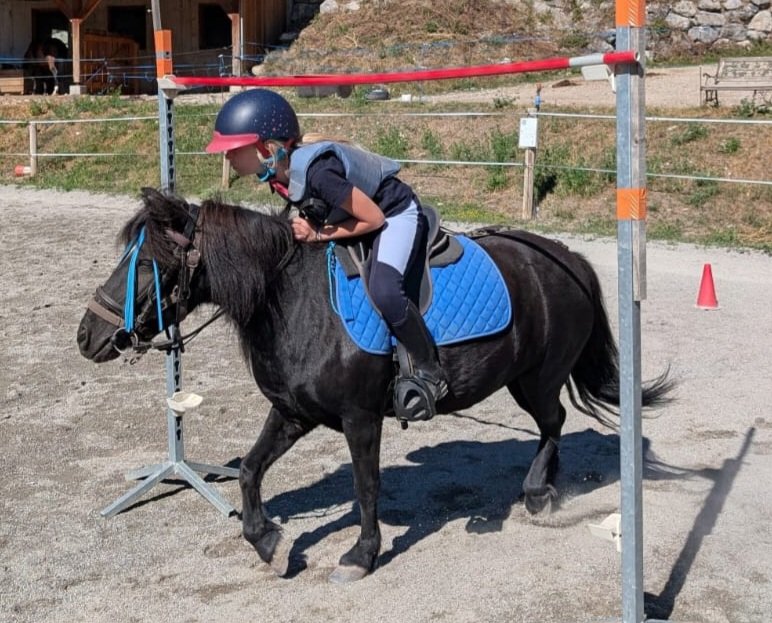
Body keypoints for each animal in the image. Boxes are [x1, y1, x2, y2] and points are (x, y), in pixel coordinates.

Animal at [77, 187, 673, 583]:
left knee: (554, 423)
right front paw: (267, 540)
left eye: (148, 263)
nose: (88, 336)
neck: (295, 299)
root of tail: (567, 259)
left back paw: (536, 491)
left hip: (538, 380)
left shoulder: (360, 418)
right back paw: (546, 484)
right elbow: (248, 469)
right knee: (555, 427)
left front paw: (362, 555)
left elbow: (367, 487)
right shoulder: (293, 413)